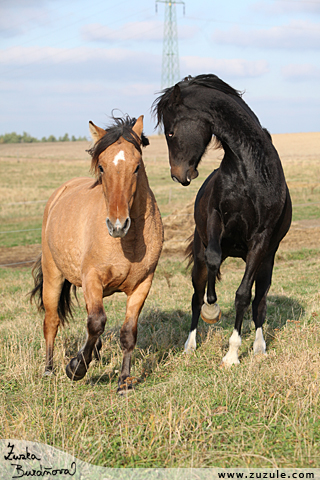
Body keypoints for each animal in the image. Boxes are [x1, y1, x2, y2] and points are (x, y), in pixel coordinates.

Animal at [30, 115, 162, 390]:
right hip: (53, 276)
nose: (117, 225)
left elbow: (128, 332)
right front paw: (75, 368)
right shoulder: (92, 279)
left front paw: (124, 381)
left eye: (137, 167)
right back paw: (49, 370)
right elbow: (96, 322)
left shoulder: (143, 284)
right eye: (101, 167)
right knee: (51, 321)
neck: (128, 243)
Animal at [154, 74, 292, 364]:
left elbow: (243, 295)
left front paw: (232, 354)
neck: (250, 170)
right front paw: (212, 309)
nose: (177, 175)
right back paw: (190, 344)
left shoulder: (261, 240)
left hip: (266, 263)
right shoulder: (216, 219)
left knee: (259, 301)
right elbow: (214, 261)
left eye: (170, 132)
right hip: (199, 257)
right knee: (196, 295)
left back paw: (259, 348)